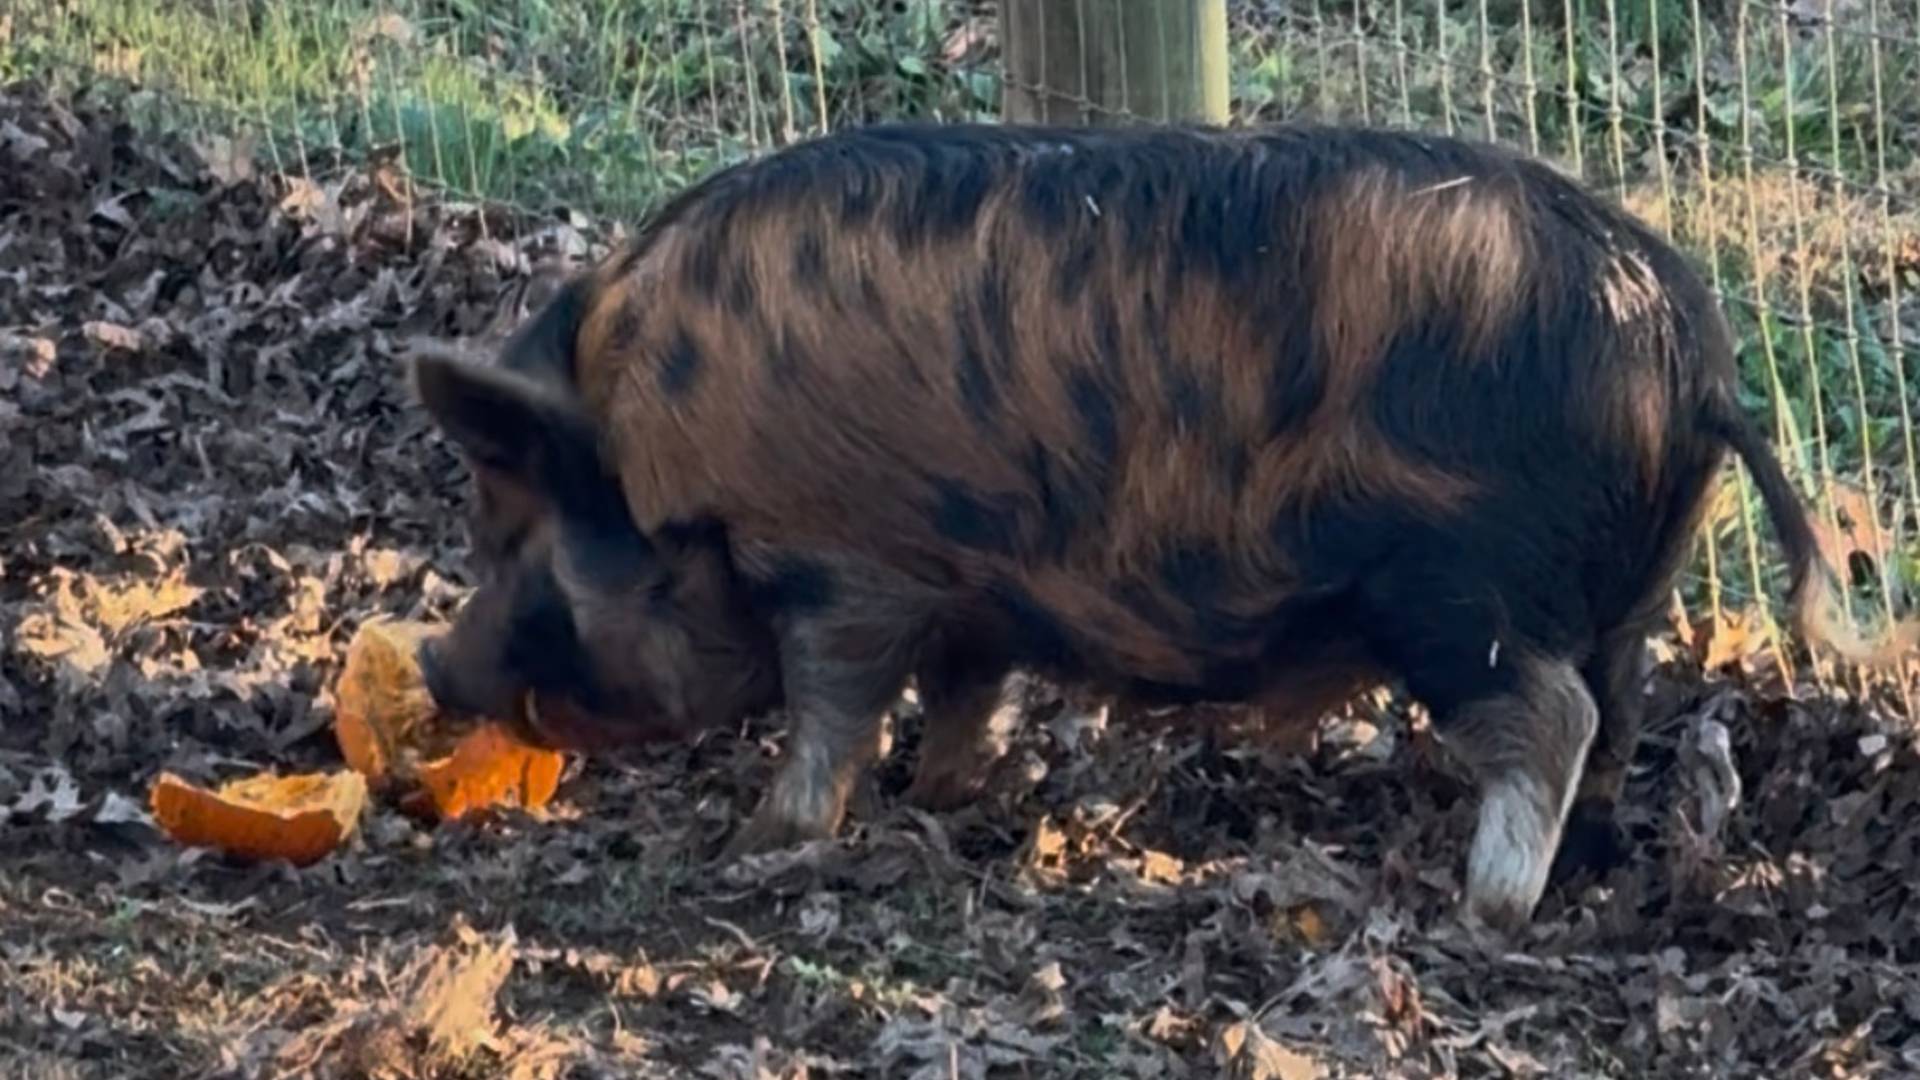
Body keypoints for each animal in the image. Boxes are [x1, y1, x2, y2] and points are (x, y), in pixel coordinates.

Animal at [408, 121, 1913, 929]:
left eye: (506, 527)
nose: (429, 662)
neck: (652, 423)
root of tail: (1691, 352)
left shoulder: (839, 563)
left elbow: (831, 709)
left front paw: (760, 840)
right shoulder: (967, 589)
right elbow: (966, 694)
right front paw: (947, 796)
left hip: (1458, 595)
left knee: (1553, 721)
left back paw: (1473, 906)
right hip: (1629, 593)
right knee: (1619, 714)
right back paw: (1582, 872)